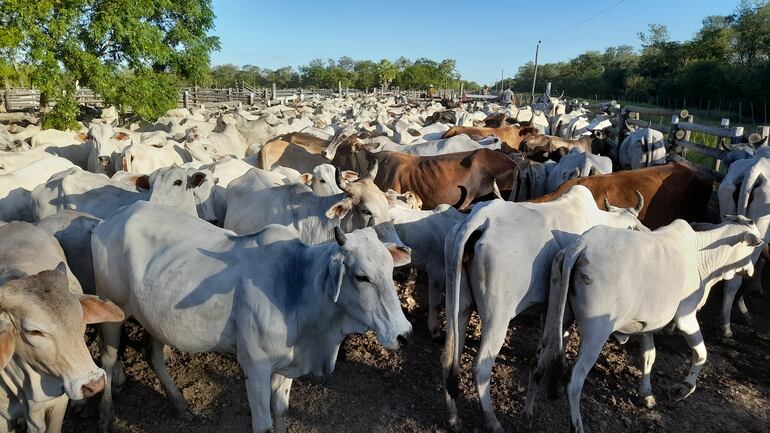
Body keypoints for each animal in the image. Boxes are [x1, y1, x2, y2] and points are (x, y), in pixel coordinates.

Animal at [91, 202, 408, 432]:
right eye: (361, 276)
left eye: (391, 269)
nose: (403, 333)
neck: (297, 286)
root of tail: (112, 219)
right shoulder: (255, 367)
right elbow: (263, 424)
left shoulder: (286, 366)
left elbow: (281, 410)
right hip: (113, 311)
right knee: (108, 359)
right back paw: (105, 416)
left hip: (155, 318)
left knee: (153, 356)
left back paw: (180, 405)